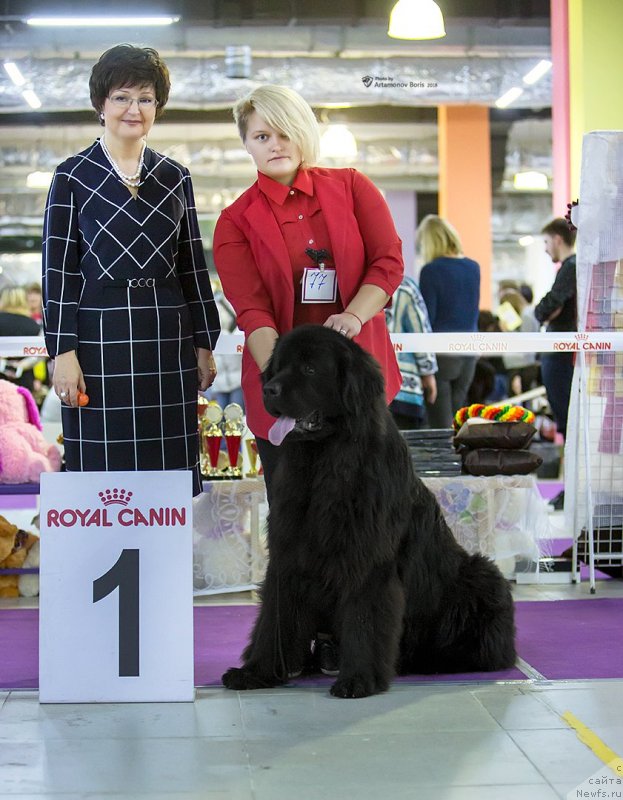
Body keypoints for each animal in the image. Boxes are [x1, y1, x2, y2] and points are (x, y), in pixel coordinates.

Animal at [224, 322, 516, 696]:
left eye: (309, 369)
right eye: (278, 367)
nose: (270, 390)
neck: (325, 462)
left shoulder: (366, 558)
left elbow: (365, 618)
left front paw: (358, 679)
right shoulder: (288, 551)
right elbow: (274, 617)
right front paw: (257, 671)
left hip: (483, 577)